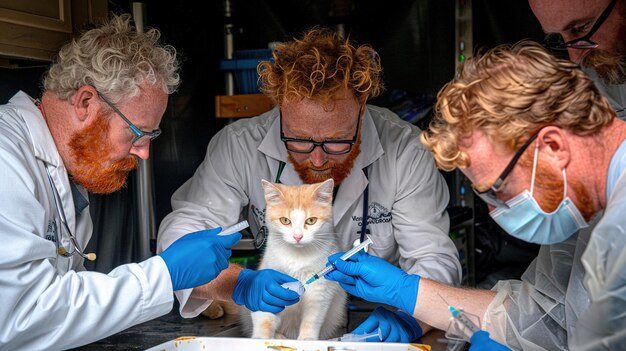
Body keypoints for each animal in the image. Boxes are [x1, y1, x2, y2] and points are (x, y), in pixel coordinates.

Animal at [239, 180, 346, 340]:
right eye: (285, 220)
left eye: (311, 220)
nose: (297, 237)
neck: (297, 255)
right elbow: (265, 316)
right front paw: (261, 338)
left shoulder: (320, 289)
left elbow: (312, 318)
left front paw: (307, 339)